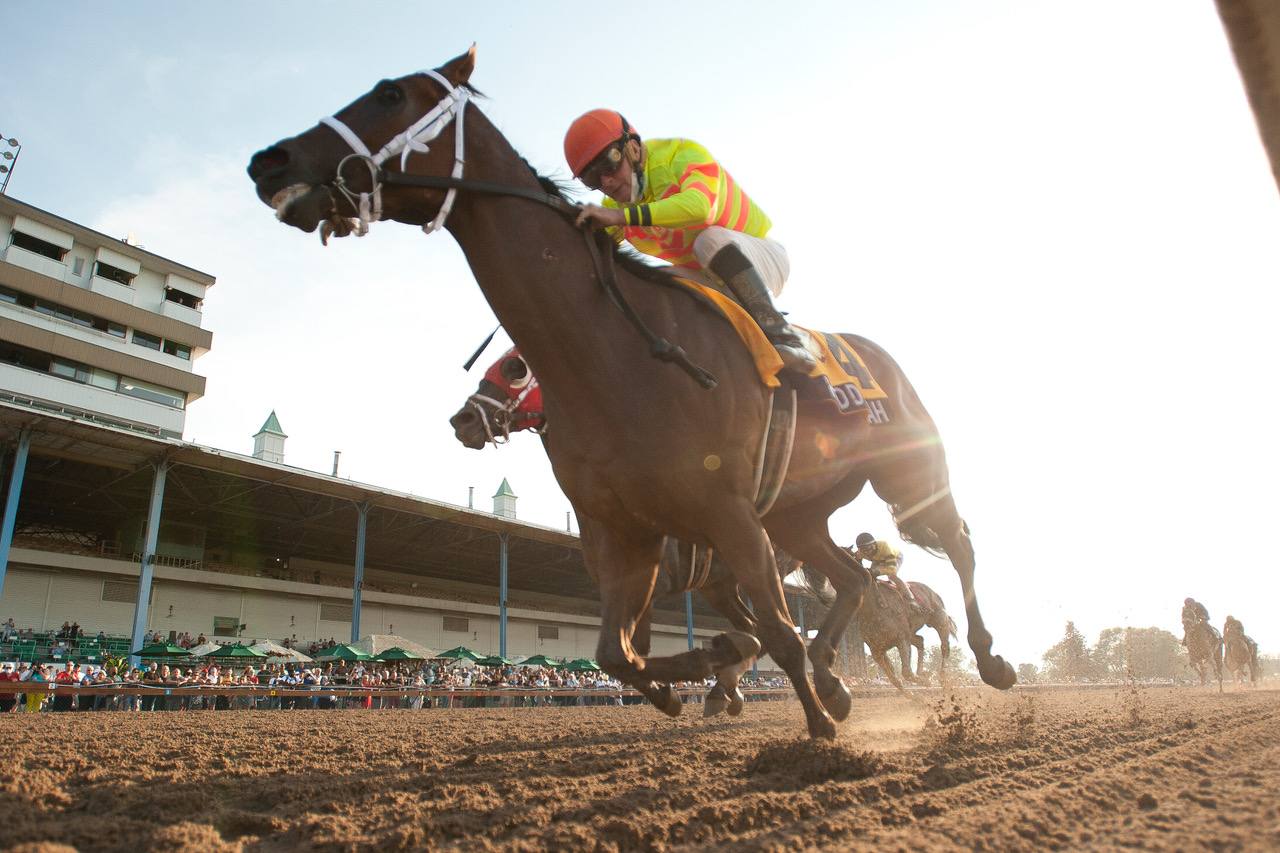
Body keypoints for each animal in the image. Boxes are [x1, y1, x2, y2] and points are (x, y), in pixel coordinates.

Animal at [244, 48, 1013, 737]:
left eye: (389, 94)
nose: (268, 162)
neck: (613, 361)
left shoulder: (726, 516)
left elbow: (769, 629)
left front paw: (813, 722)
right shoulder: (626, 534)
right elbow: (617, 652)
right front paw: (706, 675)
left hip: (908, 471)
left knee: (957, 544)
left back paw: (987, 660)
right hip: (799, 512)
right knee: (851, 578)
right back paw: (832, 671)